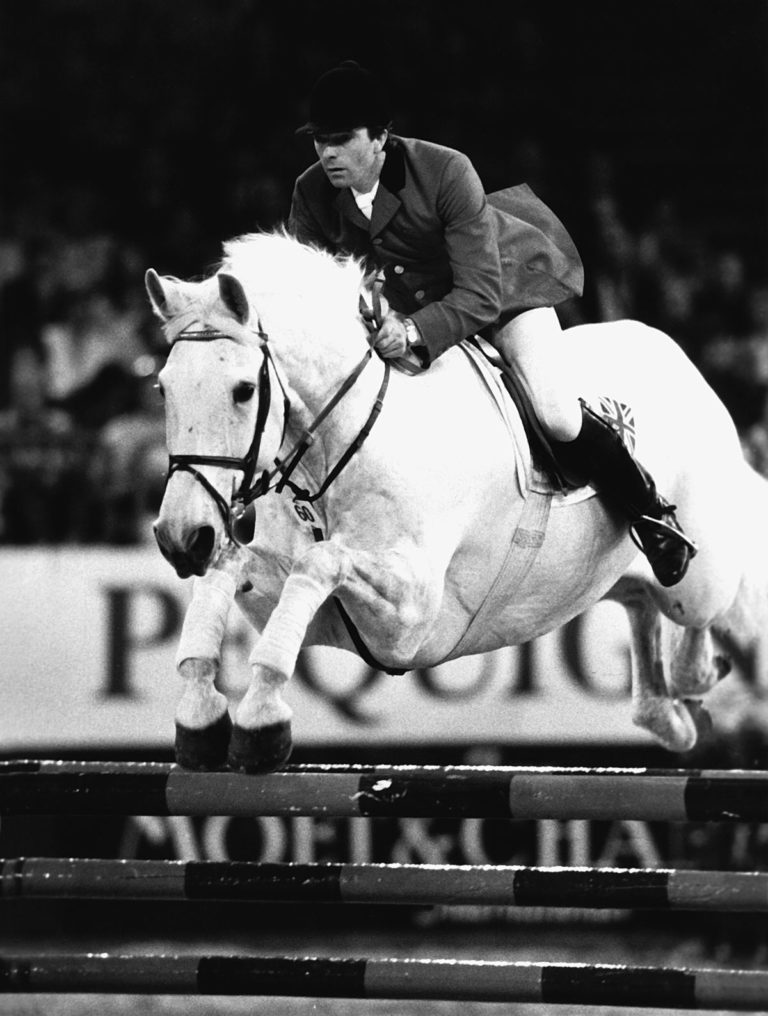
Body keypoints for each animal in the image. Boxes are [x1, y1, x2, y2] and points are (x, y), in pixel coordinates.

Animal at [145, 230, 768, 773]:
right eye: (162, 388)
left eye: (243, 390)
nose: (180, 537)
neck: (337, 445)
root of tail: (684, 364)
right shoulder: (287, 592)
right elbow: (229, 570)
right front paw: (201, 715)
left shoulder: (411, 620)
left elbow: (319, 563)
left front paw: (259, 720)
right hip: (613, 578)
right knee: (642, 610)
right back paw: (672, 711)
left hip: (701, 578)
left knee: (702, 611)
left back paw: (692, 658)